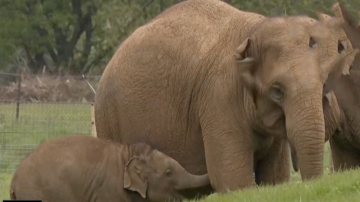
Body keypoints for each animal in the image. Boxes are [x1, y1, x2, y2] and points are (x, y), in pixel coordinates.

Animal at [94, 0, 356, 193]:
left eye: (324, 84)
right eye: (277, 91)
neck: (254, 31)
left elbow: (274, 178)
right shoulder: (219, 97)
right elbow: (233, 181)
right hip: (108, 118)